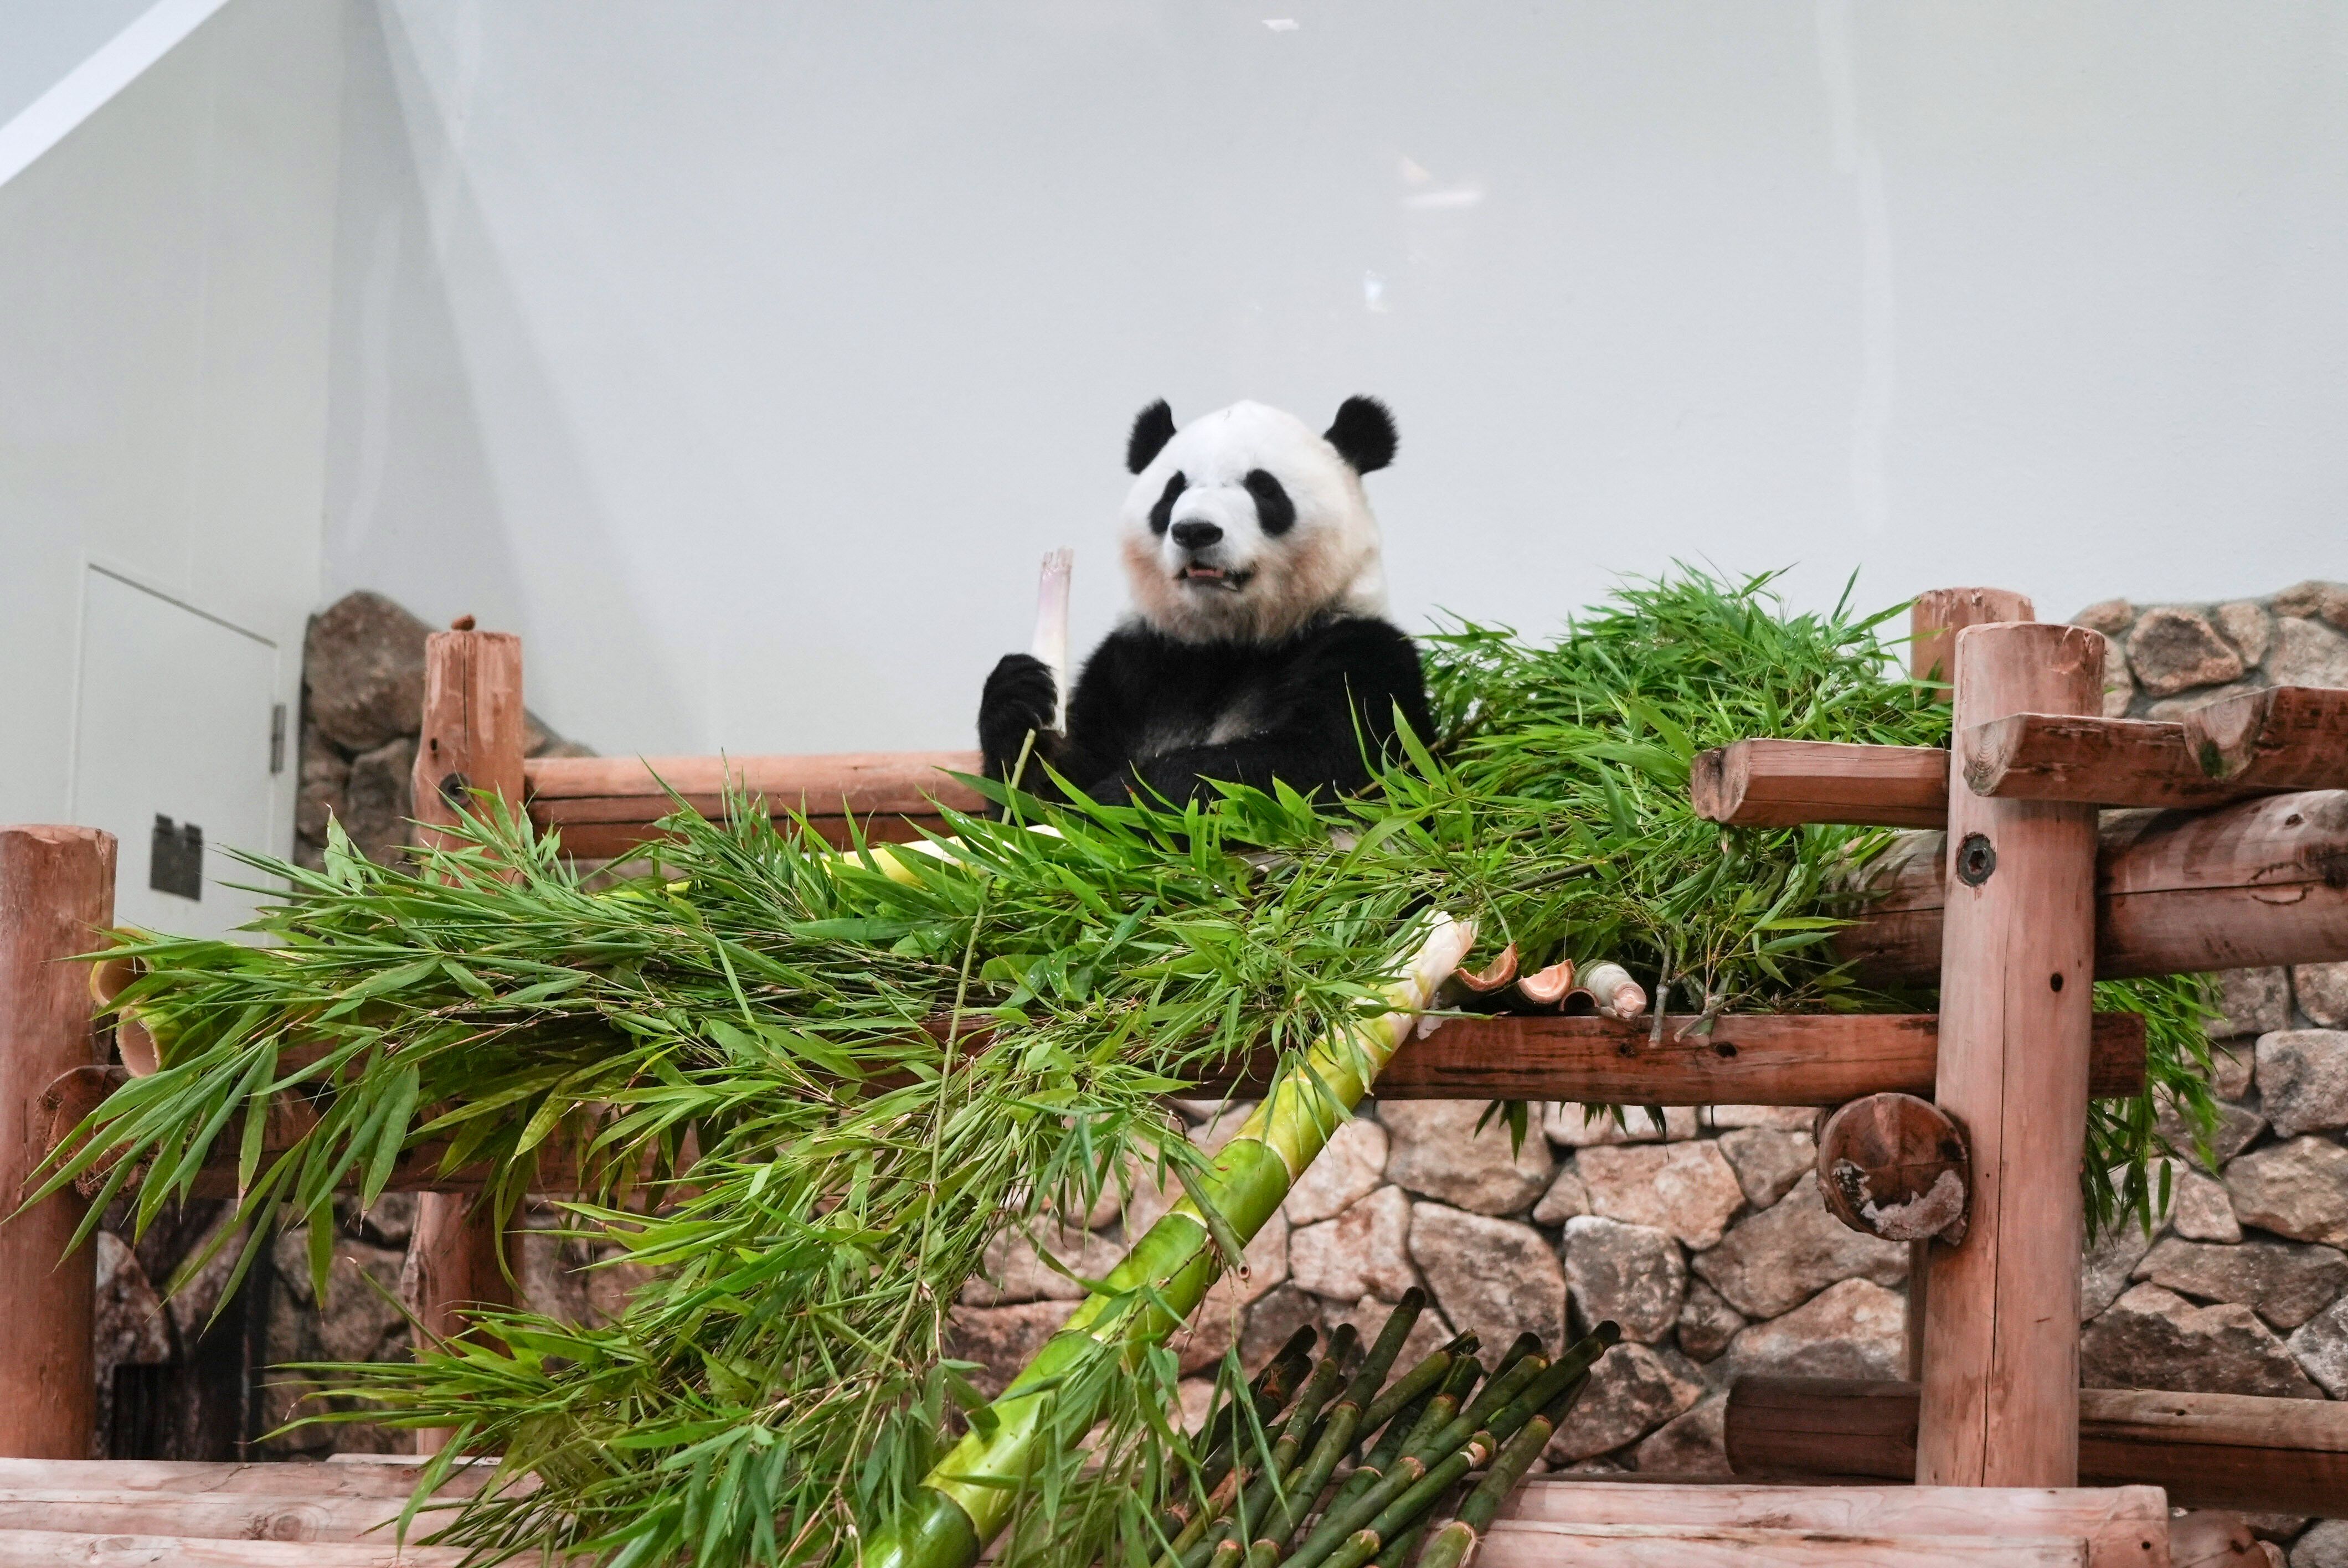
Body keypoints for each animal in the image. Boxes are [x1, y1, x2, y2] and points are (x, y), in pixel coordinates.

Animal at [977, 396, 1432, 810]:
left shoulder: (1362, 652)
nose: (1195, 530)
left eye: (1264, 488)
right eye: (1172, 491)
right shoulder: (1135, 665)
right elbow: (1040, 792)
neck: (1229, 643)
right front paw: (1019, 696)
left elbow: (1325, 761)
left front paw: (1123, 799)